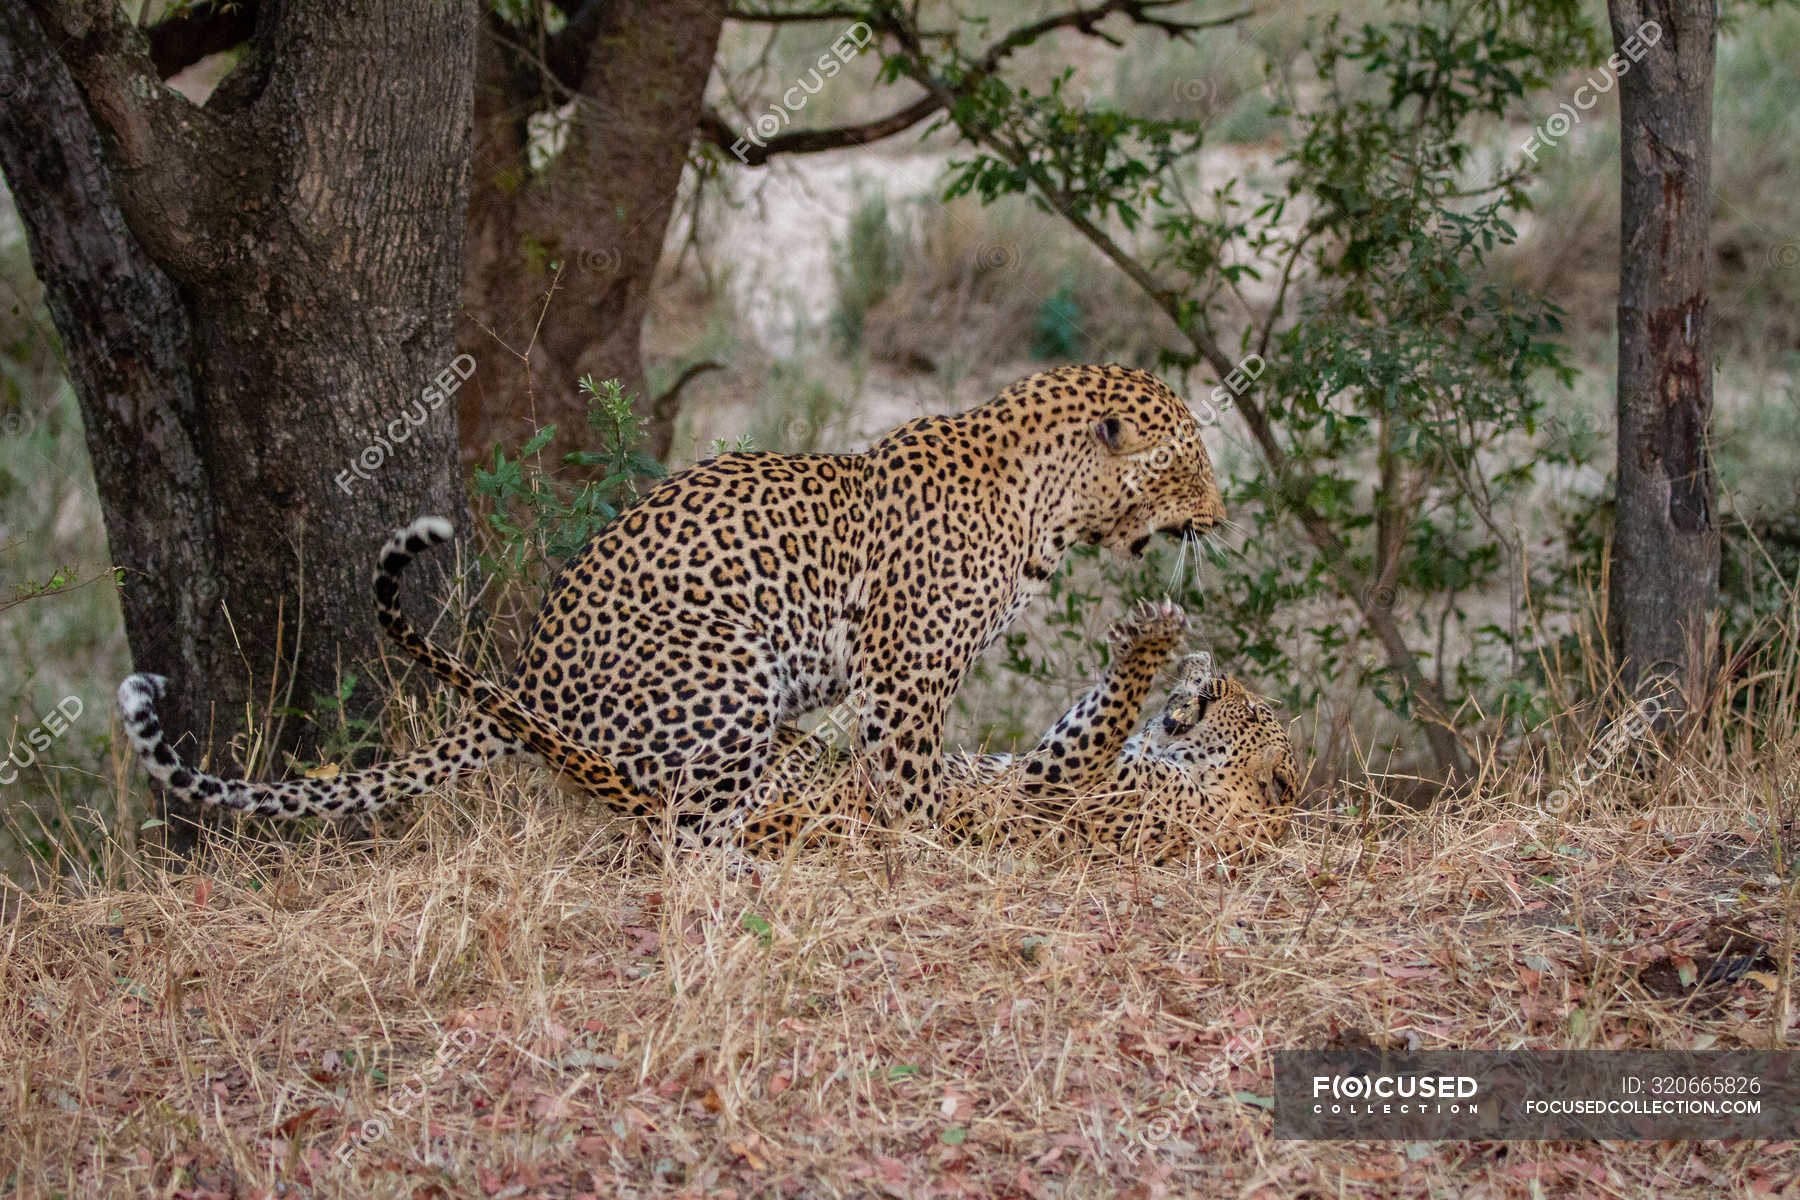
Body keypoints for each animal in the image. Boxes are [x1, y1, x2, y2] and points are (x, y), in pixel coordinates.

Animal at [119, 367, 1231, 845]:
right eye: (1191, 460)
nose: (1223, 515)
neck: (1047, 505)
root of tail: (532, 684)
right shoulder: (906, 681)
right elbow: (912, 785)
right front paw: (932, 852)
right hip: (729, 669)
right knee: (691, 843)